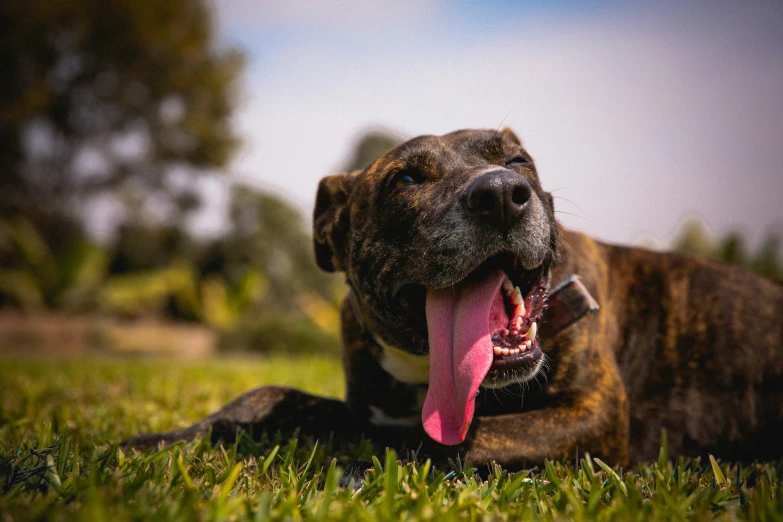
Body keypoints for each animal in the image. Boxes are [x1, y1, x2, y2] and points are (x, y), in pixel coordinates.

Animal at [125, 127, 780, 468]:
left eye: (518, 161)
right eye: (407, 179)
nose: (503, 194)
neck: (427, 370)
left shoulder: (592, 415)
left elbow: (465, 443)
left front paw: (353, 465)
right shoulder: (363, 406)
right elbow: (268, 393)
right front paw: (162, 440)